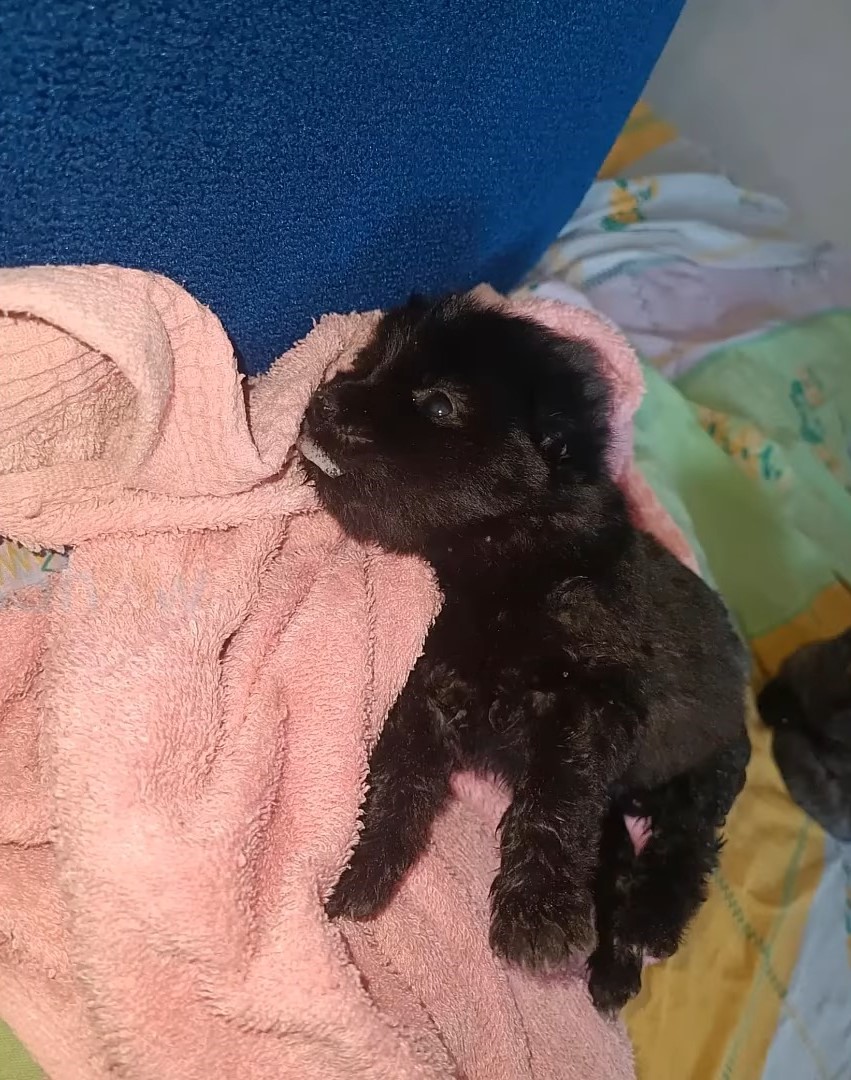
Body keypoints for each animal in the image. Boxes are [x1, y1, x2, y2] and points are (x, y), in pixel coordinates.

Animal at [300, 295, 751, 1010]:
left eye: (438, 405)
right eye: (369, 359)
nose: (323, 402)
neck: (500, 558)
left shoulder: (592, 702)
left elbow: (552, 803)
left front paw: (536, 919)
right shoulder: (429, 684)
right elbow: (400, 778)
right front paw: (363, 874)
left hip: (706, 766)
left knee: (690, 842)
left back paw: (648, 924)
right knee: (617, 857)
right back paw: (612, 969)